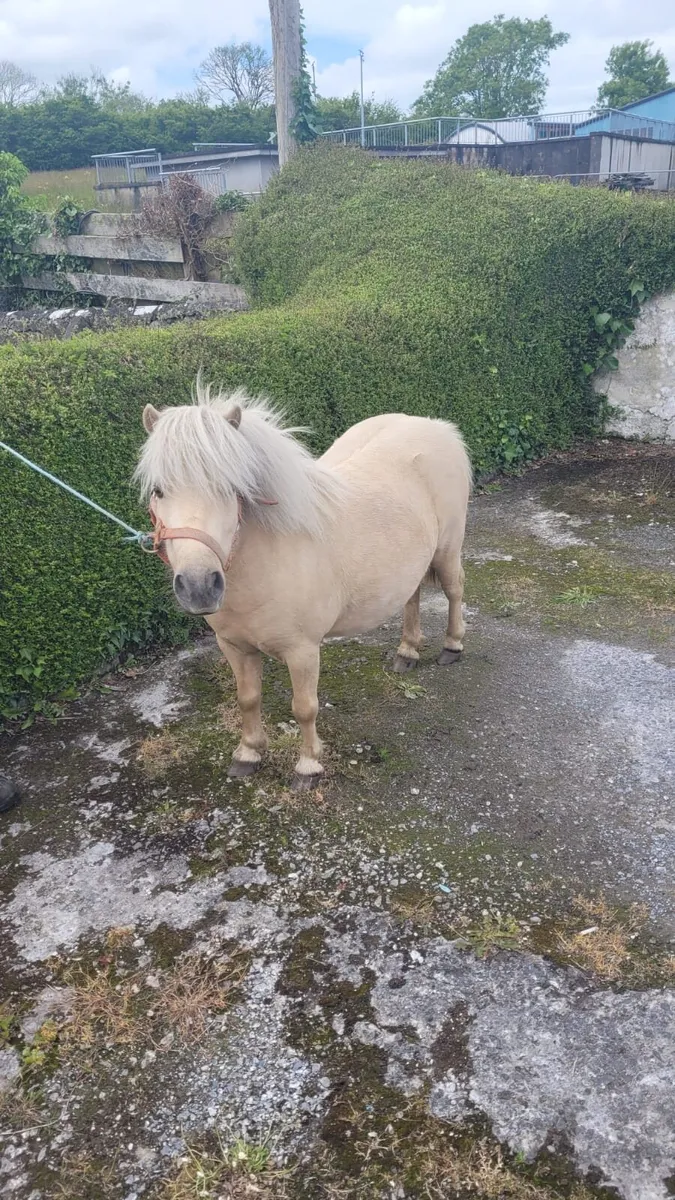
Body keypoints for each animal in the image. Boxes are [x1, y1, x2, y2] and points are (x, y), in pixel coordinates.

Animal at [135, 381, 472, 790]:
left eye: (231, 488)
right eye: (158, 490)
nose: (199, 586)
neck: (266, 560)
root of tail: (437, 427)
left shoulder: (303, 651)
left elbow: (304, 708)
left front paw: (308, 767)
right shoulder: (234, 647)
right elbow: (248, 699)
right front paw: (248, 754)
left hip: (447, 550)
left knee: (455, 591)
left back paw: (452, 646)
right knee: (412, 597)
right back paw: (407, 652)